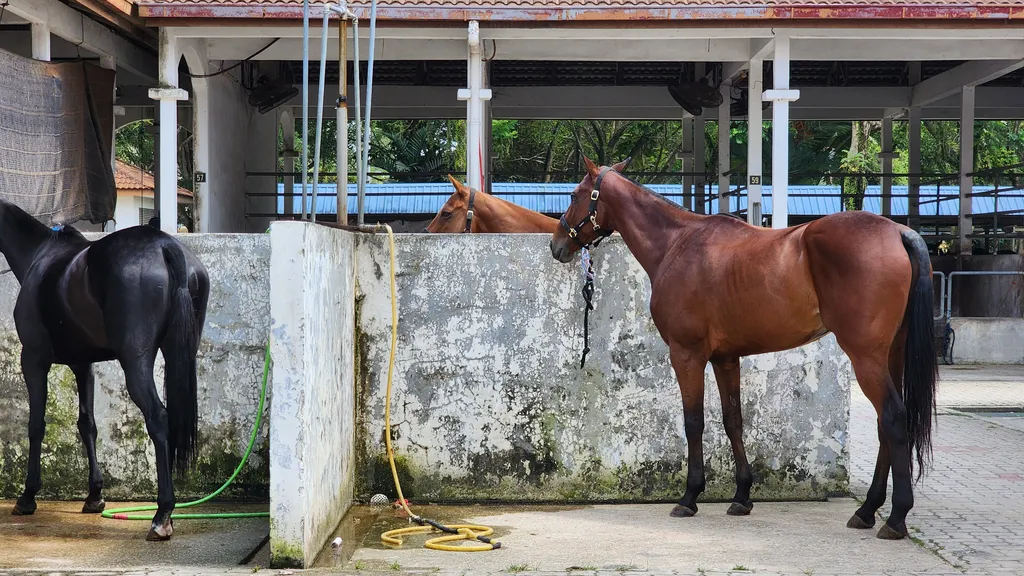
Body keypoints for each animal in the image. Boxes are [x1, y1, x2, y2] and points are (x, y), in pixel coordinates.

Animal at [0, 199, 209, 541]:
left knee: (158, 418)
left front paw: (27, 496)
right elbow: (88, 425)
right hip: (181, 353)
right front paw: (94, 495)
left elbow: (36, 425)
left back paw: (161, 515)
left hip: (135, 361)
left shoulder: (33, 360)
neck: (39, 256)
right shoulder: (83, 365)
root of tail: (166, 246)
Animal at [552, 155, 937, 537]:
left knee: (893, 417)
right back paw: (867, 510)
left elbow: (693, 422)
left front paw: (689, 497)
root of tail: (898, 232)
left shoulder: (687, 354)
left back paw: (895, 517)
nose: (557, 246)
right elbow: (733, 419)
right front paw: (741, 496)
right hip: (890, 356)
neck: (677, 244)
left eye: (574, 195)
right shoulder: (726, 358)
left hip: (866, 357)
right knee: (885, 424)